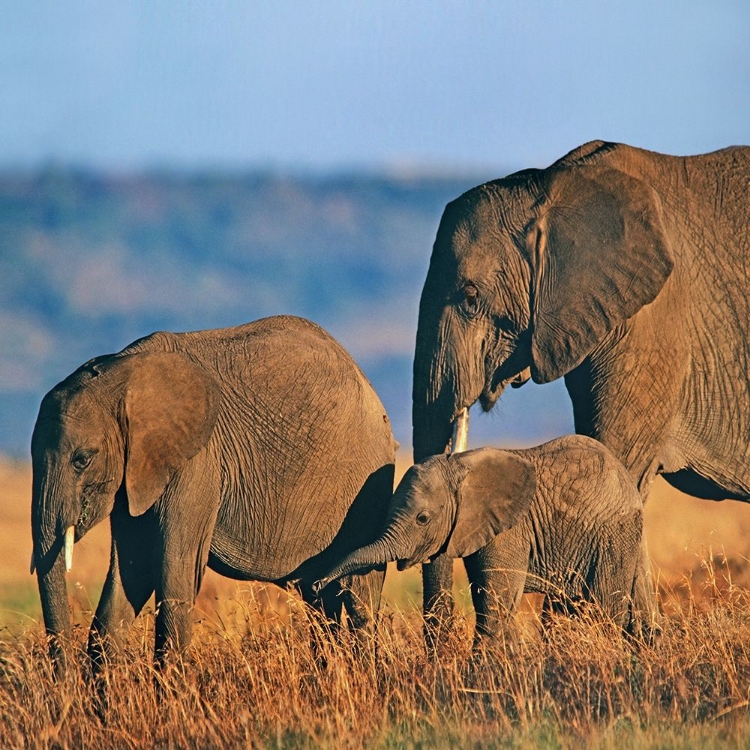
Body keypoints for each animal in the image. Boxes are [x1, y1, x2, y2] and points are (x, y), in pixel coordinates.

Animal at [30, 318, 394, 668]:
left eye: (82, 460)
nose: (64, 683)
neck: (123, 373)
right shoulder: (135, 474)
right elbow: (131, 572)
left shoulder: (198, 463)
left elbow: (176, 572)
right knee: (320, 600)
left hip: (368, 485)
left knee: (358, 597)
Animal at [318, 438, 656, 648]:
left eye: (422, 518)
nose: (320, 583)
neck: (461, 466)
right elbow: (485, 597)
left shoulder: (510, 531)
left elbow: (495, 604)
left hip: (612, 535)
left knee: (604, 607)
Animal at [414, 140, 748, 636]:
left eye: (471, 297)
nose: (442, 643)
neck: (548, 187)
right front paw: (640, 640)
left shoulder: (652, 327)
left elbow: (617, 467)